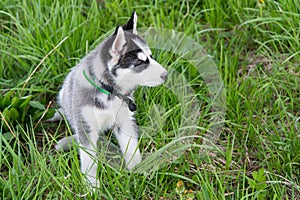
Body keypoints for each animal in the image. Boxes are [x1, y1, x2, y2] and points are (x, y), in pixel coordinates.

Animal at [52, 12, 168, 187]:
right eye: (140, 62)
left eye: (151, 56)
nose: (166, 75)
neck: (111, 92)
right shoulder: (87, 127)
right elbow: (89, 160)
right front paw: (92, 186)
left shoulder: (124, 121)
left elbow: (131, 148)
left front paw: (137, 171)